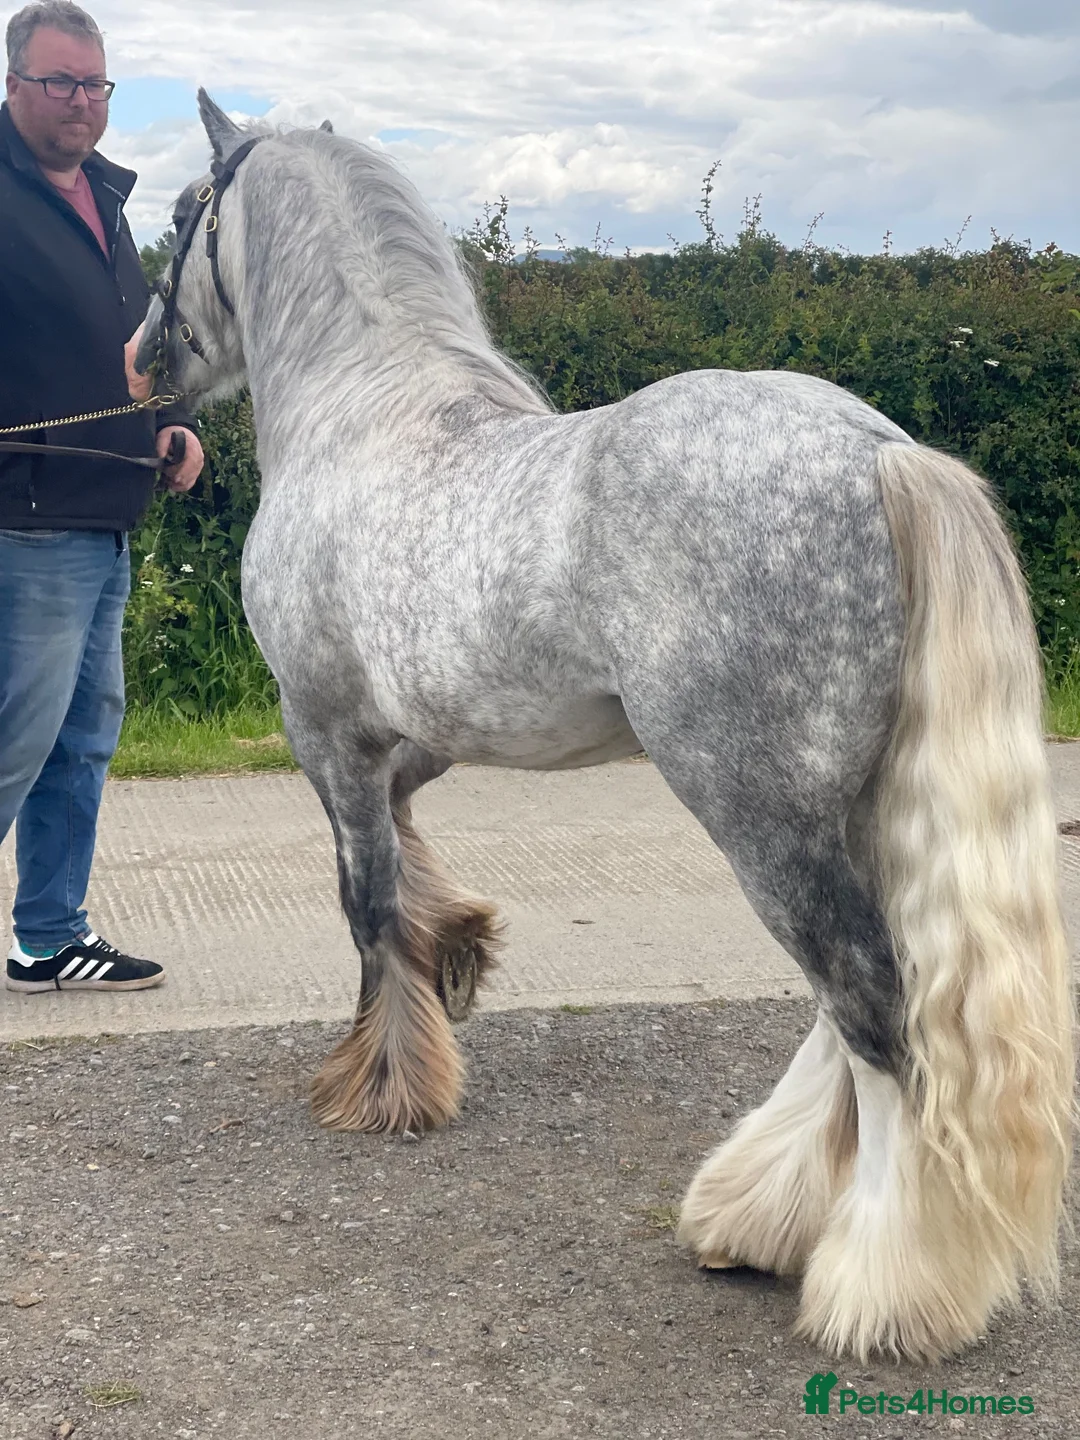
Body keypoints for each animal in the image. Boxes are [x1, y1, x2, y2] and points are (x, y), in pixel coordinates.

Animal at [133, 91, 1074, 1363]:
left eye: (186, 211)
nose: (143, 362)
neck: (363, 415)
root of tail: (886, 455)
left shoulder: (325, 727)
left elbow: (366, 897)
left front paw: (385, 1084)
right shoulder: (419, 730)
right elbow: (409, 846)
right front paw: (459, 947)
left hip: (762, 819)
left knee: (874, 1011)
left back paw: (880, 1286)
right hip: (853, 809)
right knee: (855, 1007)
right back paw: (757, 1216)